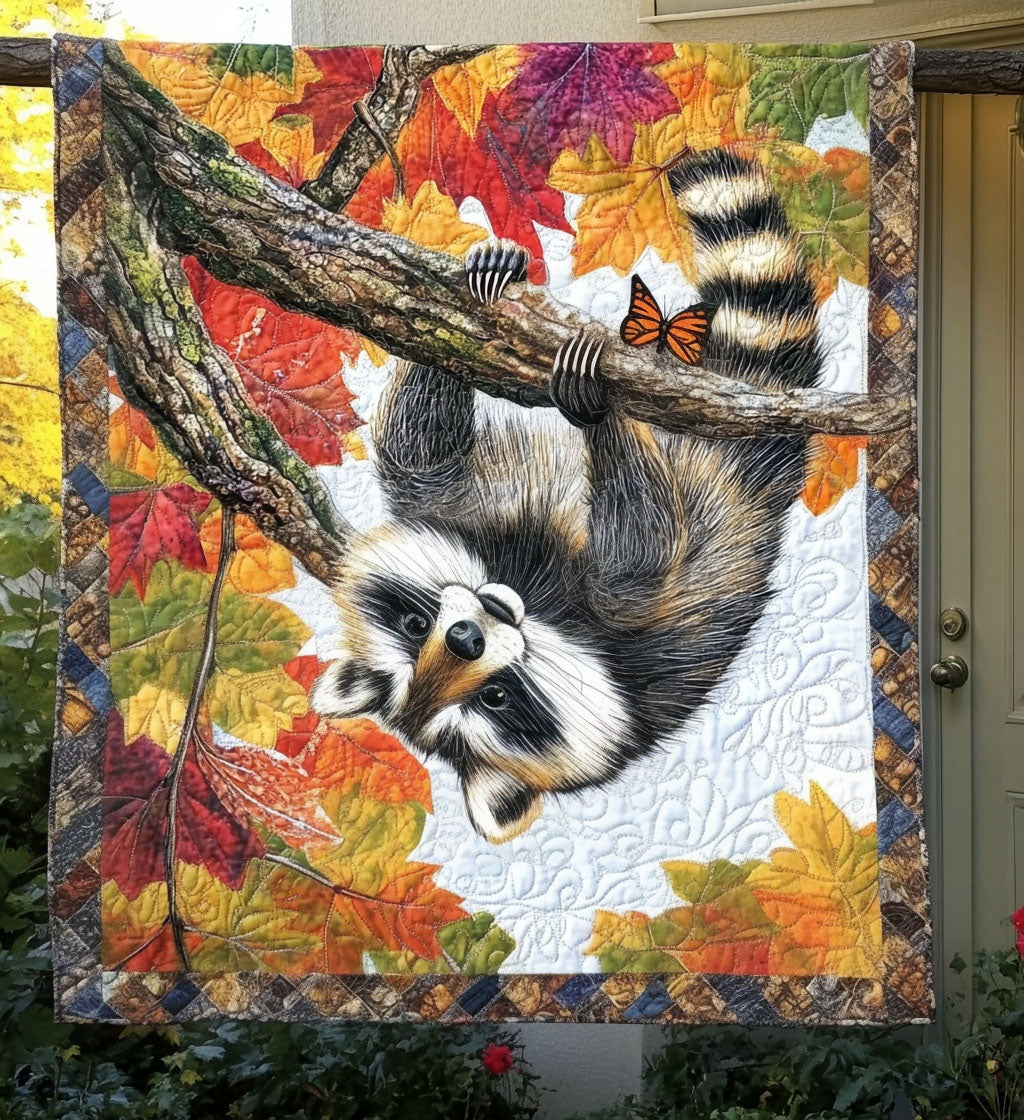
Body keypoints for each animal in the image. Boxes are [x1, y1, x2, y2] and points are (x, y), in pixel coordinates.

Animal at [312, 148, 824, 843]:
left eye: (495, 697)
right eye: (418, 630)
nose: (468, 635)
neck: (529, 585)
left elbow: (424, 461)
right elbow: (634, 565)